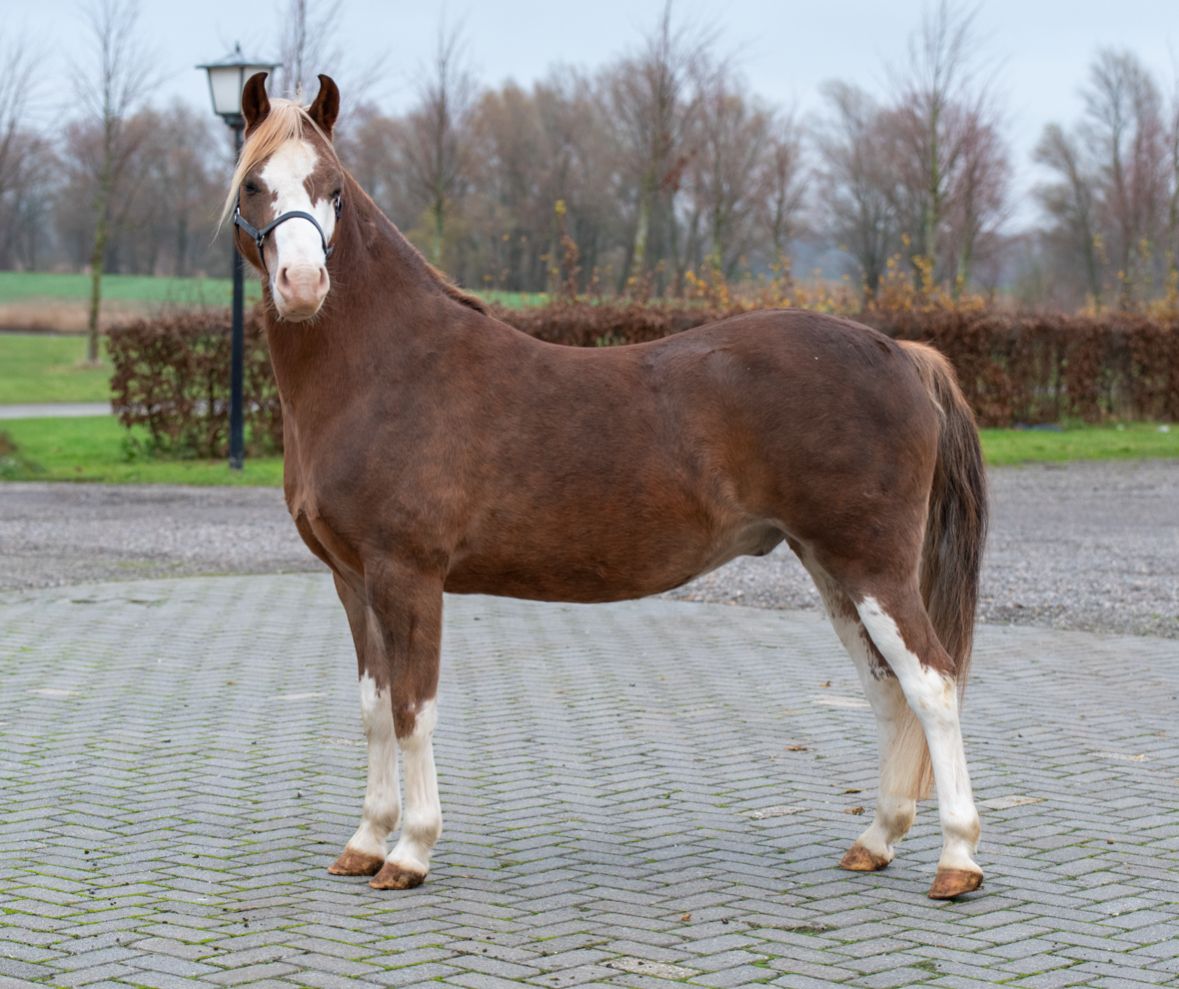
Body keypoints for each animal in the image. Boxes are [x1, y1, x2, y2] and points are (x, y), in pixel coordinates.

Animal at [224, 72, 988, 900]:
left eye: (333, 188)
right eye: (256, 183)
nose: (304, 285)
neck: (385, 367)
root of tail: (899, 351)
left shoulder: (408, 574)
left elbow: (411, 708)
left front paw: (410, 850)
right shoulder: (351, 578)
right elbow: (371, 709)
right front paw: (365, 841)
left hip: (873, 567)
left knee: (933, 685)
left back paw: (956, 859)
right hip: (831, 569)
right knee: (885, 690)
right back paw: (874, 839)